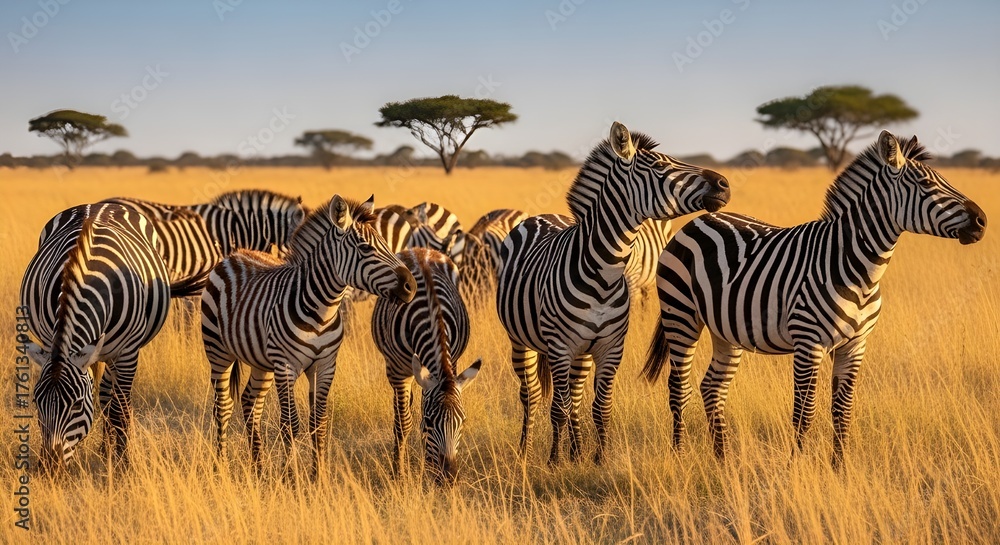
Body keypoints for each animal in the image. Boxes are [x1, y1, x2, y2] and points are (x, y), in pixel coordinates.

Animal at [21, 203, 174, 470]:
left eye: (77, 404)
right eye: (36, 402)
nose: (50, 467)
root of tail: (98, 204)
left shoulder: (127, 353)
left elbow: (119, 409)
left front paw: (123, 463)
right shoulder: (52, 343)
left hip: (115, 353)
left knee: (110, 397)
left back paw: (111, 448)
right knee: (103, 394)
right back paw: (105, 447)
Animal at [201, 195, 417, 475]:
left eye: (386, 244)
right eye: (365, 249)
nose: (411, 286)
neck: (322, 311)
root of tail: (234, 255)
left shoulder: (324, 366)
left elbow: (318, 422)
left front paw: (318, 476)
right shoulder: (286, 366)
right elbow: (290, 424)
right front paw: (291, 477)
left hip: (262, 362)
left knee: (250, 402)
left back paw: (259, 468)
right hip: (218, 351)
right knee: (223, 407)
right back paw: (221, 466)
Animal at [371, 248, 481, 485]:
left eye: (463, 422)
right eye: (428, 422)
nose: (449, 479)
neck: (432, 315)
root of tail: (420, 250)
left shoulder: (452, 362)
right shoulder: (398, 372)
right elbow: (403, 424)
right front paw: (398, 474)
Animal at [496, 122, 731, 465]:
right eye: (659, 166)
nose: (724, 184)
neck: (603, 275)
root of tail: (542, 217)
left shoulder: (610, 349)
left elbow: (600, 407)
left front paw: (598, 458)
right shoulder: (560, 347)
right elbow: (558, 409)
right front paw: (554, 461)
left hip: (582, 351)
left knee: (575, 396)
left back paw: (576, 452)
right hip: (521, 340)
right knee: (532, 395)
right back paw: (526, 450)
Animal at [641, 131, 988, 466]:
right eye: (927, 185)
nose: (982, 221)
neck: (857, 268)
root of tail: (699, 220)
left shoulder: (855, 346)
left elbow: (843, 411)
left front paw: (840, 469)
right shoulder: (810, 342)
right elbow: (804, 413)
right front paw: (796, 468)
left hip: (726, 329)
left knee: (712, 388)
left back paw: (722, 461)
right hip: (681, 315)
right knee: (679, 387)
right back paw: (680, 457)